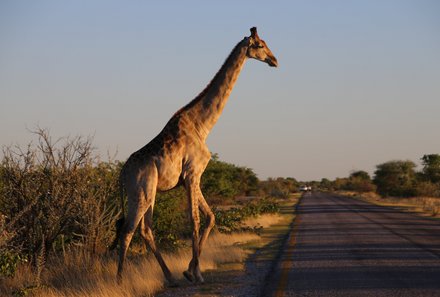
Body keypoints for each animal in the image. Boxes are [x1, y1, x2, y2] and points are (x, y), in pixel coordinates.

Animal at [113, 27, 278, 284]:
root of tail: (122, 174)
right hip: (141, 191)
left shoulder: (192, 177)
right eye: (260, 45)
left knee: (145, 229)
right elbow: (195, 220)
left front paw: (190, 270)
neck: (203, 125)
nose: (275, 60)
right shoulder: (192, 173)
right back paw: (120, 281)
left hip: (146, 193)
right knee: (128, 230)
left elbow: (210, 217)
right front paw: (196, 273)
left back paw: (169, 277)